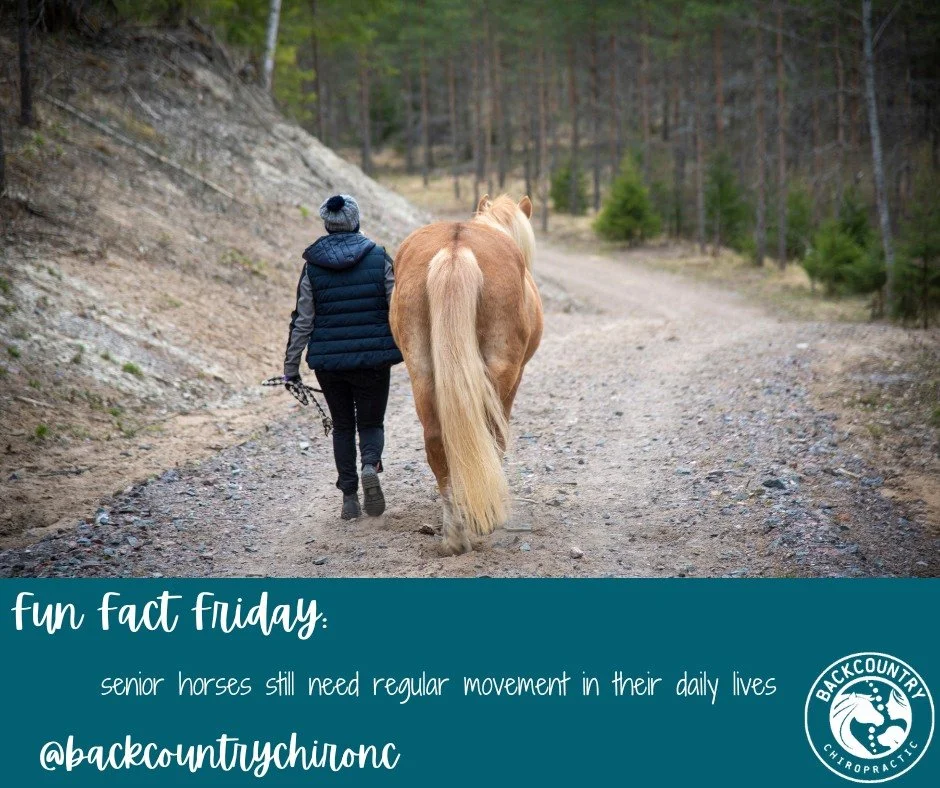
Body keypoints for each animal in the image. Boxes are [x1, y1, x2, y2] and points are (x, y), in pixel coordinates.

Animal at [390, 195, 543, 555]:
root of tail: (455, 249)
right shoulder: (516, 378)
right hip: (501, 373)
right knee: (489, 435)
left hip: (422, 372)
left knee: (436, 441)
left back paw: (455, 534)